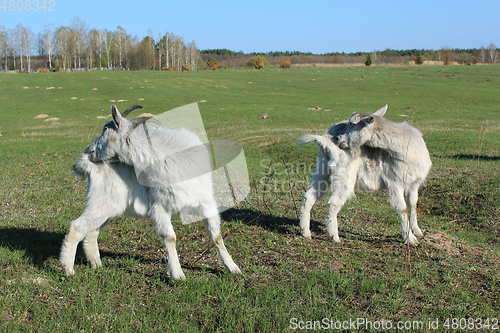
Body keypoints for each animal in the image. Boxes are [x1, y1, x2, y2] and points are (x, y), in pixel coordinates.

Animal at [60, 104, 240, 280]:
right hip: (101, 203)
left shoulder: (205, 203)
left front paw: (233, 268)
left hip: (108, 209)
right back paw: (68, 269)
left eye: (105, 129)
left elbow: (217, 236)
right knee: (77, 228)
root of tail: (88, 166)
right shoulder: (160, 207)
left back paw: (96, 264)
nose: (89, 150)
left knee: (91, 232)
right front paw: (178, 275)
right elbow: (170, 237)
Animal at [298, 105, 432, 243]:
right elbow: (403, 208)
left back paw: (305, 231)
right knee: (333, 203)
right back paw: (334, 236)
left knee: (309, 196)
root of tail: (324, 141)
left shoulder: (414, 183)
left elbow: (413, 204)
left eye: (352, 124)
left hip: (323, 171)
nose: (338, 138)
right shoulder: (394, 182)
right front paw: (410, 238)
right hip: (343, 175)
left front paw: (417, 230)